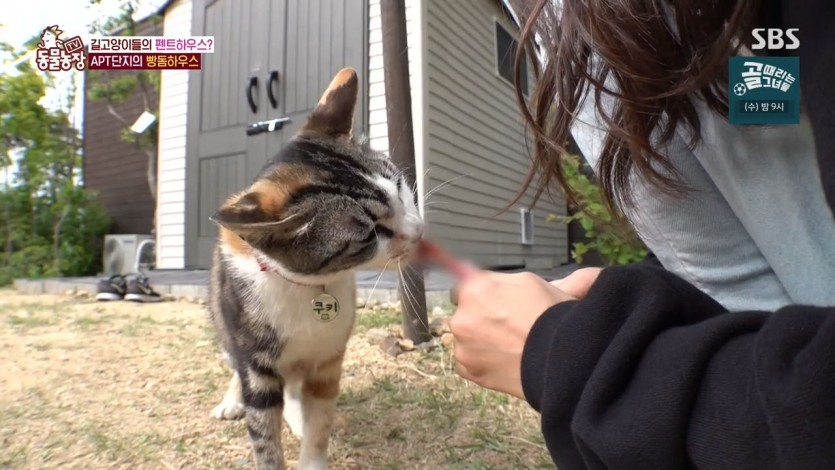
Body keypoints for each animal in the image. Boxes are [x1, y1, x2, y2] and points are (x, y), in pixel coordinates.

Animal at [209, 67, 424, 470]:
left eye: (401, 186)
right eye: (370, 233)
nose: (420, 232)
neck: (309, 287)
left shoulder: (328, 360)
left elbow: (320, 422)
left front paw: (310, 444)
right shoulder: (256, 364)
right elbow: (264, 433)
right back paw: (234, 401)